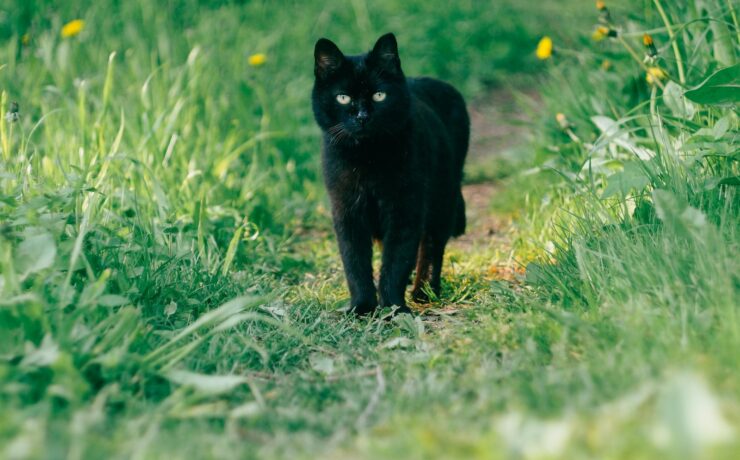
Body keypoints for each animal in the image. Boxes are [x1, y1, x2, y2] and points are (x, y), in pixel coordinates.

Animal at [312, 30, 468, 314]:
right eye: (343, 97)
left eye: (379, 95)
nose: (362, 116)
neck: (368, 159)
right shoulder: (347, 210)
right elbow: (355, 262)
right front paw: (362, 307)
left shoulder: (405, 208)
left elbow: (396, 260)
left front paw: (393, 308)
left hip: (443, 196)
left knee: (432, 244)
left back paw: (425, 291)